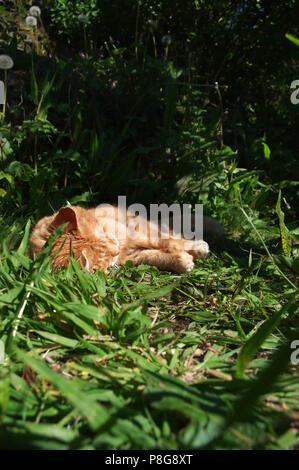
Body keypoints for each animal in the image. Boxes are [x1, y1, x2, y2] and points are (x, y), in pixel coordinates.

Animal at [29, 205, 221, 272]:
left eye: (105, 236)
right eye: (105, 257)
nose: (116, 249)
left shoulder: (134, 234)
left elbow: (168, 242)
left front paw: (195, 249)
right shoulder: (133, 255)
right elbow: (155, 256)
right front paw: (182, 261)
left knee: (173, 234)